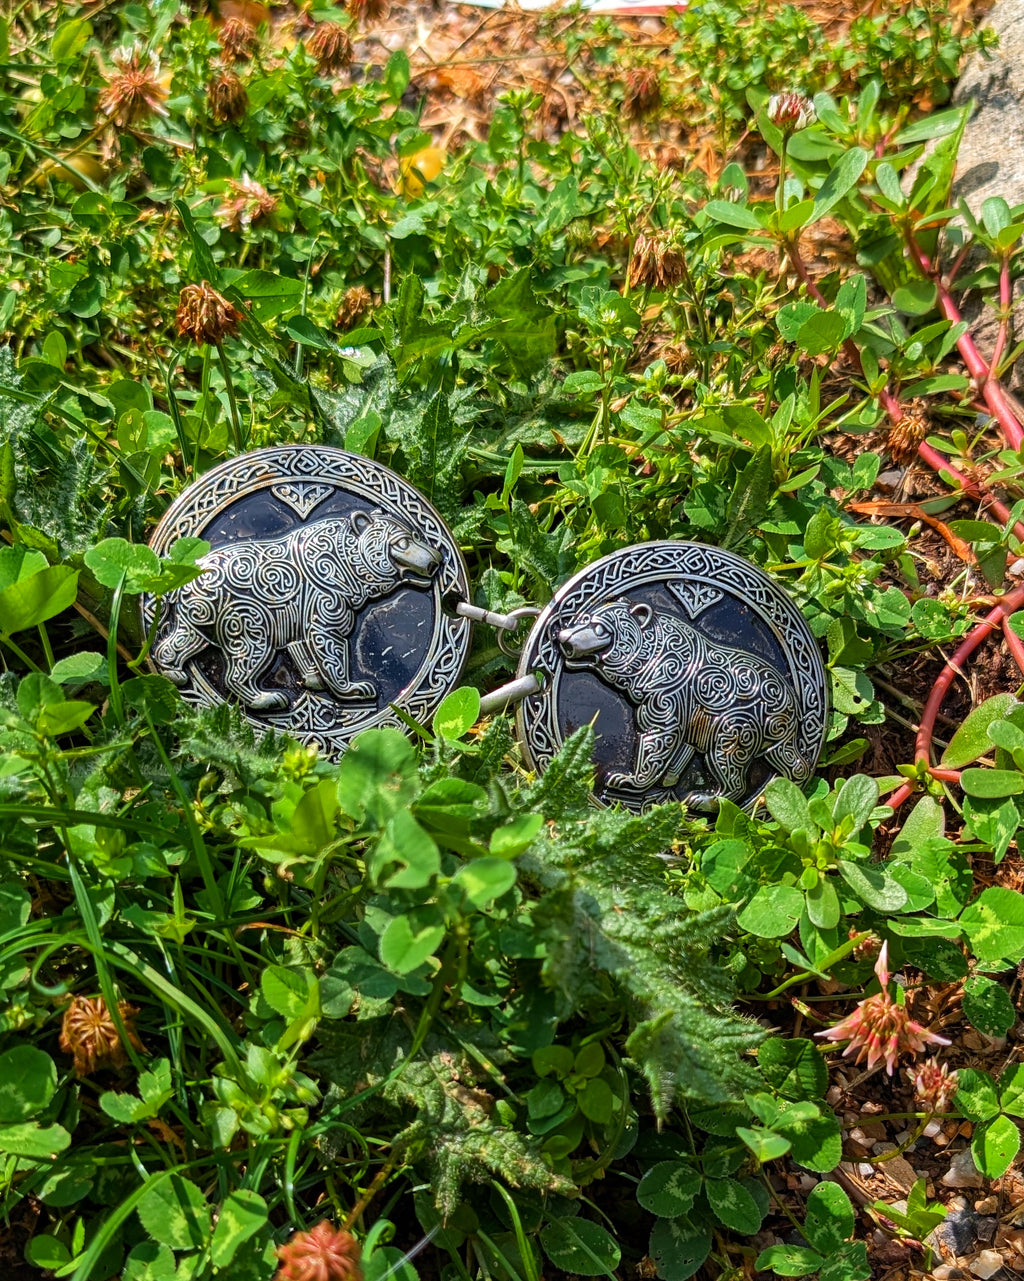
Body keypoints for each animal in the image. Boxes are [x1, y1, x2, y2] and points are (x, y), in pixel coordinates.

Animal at [153, 509, 441, 711]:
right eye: (402, 542)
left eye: (417, 536)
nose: (436, 561)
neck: (347, 567)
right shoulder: (324, 599)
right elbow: (331, 645)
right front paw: (353, 688)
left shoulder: (299, 611)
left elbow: (301, 647)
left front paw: (314, 680)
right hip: (244, 615)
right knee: (244, 659)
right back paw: (266, 698)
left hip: (199, 613)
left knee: (183, 639)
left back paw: (173, 671)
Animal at [556, 596, 811, 808]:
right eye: (582, 619)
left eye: (599, 627)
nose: (563, 638)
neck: (648, 661)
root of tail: (791, 701)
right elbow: (681, 748)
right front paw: (668, 778)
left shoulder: (668, 698)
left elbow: (656, 740)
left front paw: (629, 780)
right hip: (775, 734)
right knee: (791, 763)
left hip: (738, 725)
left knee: (730, 766)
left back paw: (706, 799)